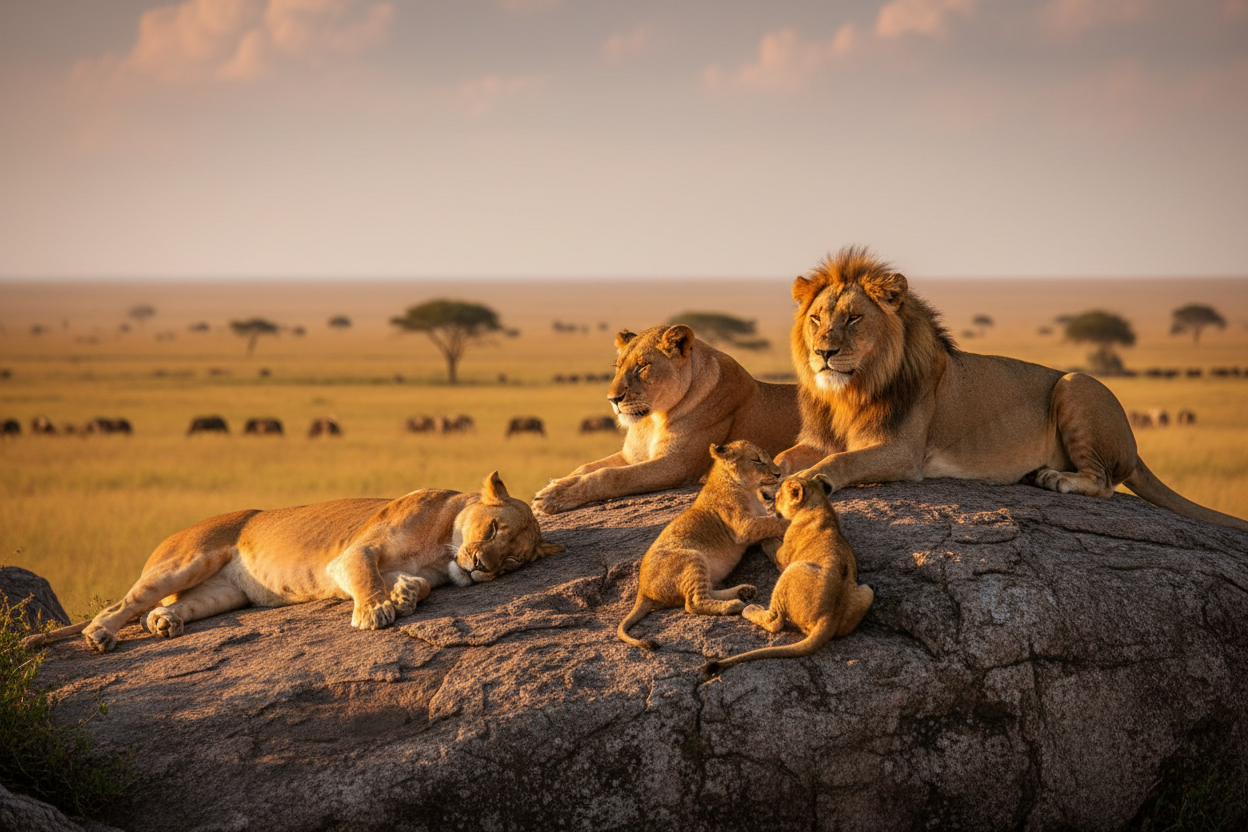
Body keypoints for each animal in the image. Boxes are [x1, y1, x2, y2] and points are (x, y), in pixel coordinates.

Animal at [23, 472, 565, 654]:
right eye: (491, 530)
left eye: (511, 562)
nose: (481, 568)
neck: (443, 544)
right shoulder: (351, 555)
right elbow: (366, 578)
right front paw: (376, 610)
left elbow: (423, 586)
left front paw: (407, 594)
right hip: (186, 559)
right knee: (125, 603)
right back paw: (100, 634)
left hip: (223, 593)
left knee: (167, 608)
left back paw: (164, 623)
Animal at [534, 324, 800, 515]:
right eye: (617, 366)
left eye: (642, 367)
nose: (612, 399)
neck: (652, 419)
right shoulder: (631, 456)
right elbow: (585, 468)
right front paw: (553, 486)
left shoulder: (675, 466)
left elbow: (609, 475)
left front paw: (553, 498)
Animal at [617, 440, 790, 651]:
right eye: (756, 459)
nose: (779, 474)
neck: (748, 490)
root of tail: (642, 590)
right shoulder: (743, 526)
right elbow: (773, 522)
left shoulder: (753, 531)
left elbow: (769, 530)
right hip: (692, 557)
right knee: (693, 602)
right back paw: (734, 605)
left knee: (706, 592)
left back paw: (744, 592)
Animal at [702, 474, 873, 676]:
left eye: (777, 497)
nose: (770, 504)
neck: (821, 506)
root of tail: (829, 619)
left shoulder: (782, 557)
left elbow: (772, 545)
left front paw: (764, 537)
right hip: (867, 590)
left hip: (793, 569)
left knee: (775, 622)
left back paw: (750, 608)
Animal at [775, 246, 1248, 532]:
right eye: (817, 318)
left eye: (854, 319)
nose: (823, 352)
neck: (849, 391)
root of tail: (1133, 446)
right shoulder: (820, 438)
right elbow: (785, 456)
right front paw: (771, 471)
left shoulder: (903, 453)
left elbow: (842, 459)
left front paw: (806, 482)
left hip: (1076, 383)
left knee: (1104, 483)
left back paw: (1054, 478)